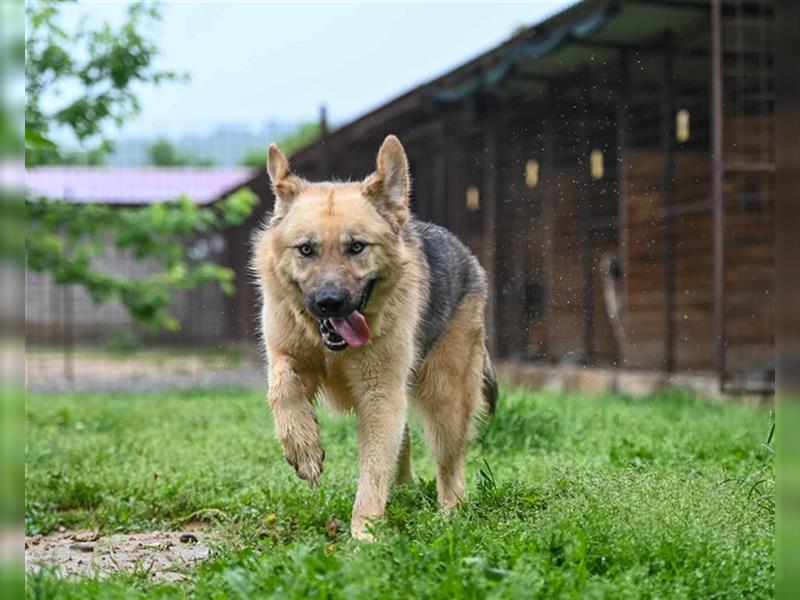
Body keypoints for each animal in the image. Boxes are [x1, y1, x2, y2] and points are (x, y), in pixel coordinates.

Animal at [253, 135, 496, 540]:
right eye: (306, 249)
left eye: (356, 247)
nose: (330, 303)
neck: (333, 351)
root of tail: (468, 258)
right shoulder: (286, 356)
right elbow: (282, 387)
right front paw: (303, 447)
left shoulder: (380, 394)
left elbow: (373, 470)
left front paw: (364, 535)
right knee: (407, 439)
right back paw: (405, 490)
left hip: (446, 397)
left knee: (449, 466)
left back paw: (449, 515)